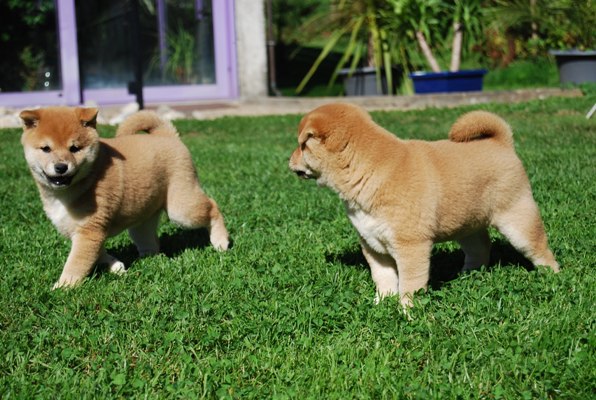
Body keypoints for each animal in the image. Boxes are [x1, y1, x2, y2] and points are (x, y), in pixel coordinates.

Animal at [18, 106, 228, 288]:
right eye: (46, 149)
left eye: (74, 148)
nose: (61, 167)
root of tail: (165, 135)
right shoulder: (85, 231)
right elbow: (97, 253)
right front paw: (115, 266)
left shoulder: (89, 230)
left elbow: (76, 263)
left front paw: (63, 287)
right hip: (143, 218)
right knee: (149, 239)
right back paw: (149, 259)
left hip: (181, 209)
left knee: (212, 206)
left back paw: (221, 241)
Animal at [288, 102, 560, 306]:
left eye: (302, 145)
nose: (289, 161)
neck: (366, 167)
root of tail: (501, 143)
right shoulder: (372, 244)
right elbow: (384, 278)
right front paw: (382, 303)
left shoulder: (411, 246)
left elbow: (410, 283)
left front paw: (407, 311)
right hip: (466, 224)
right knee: (480, 247)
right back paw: (467, 275)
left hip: (518, 220)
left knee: (540, 251)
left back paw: (553, 278)